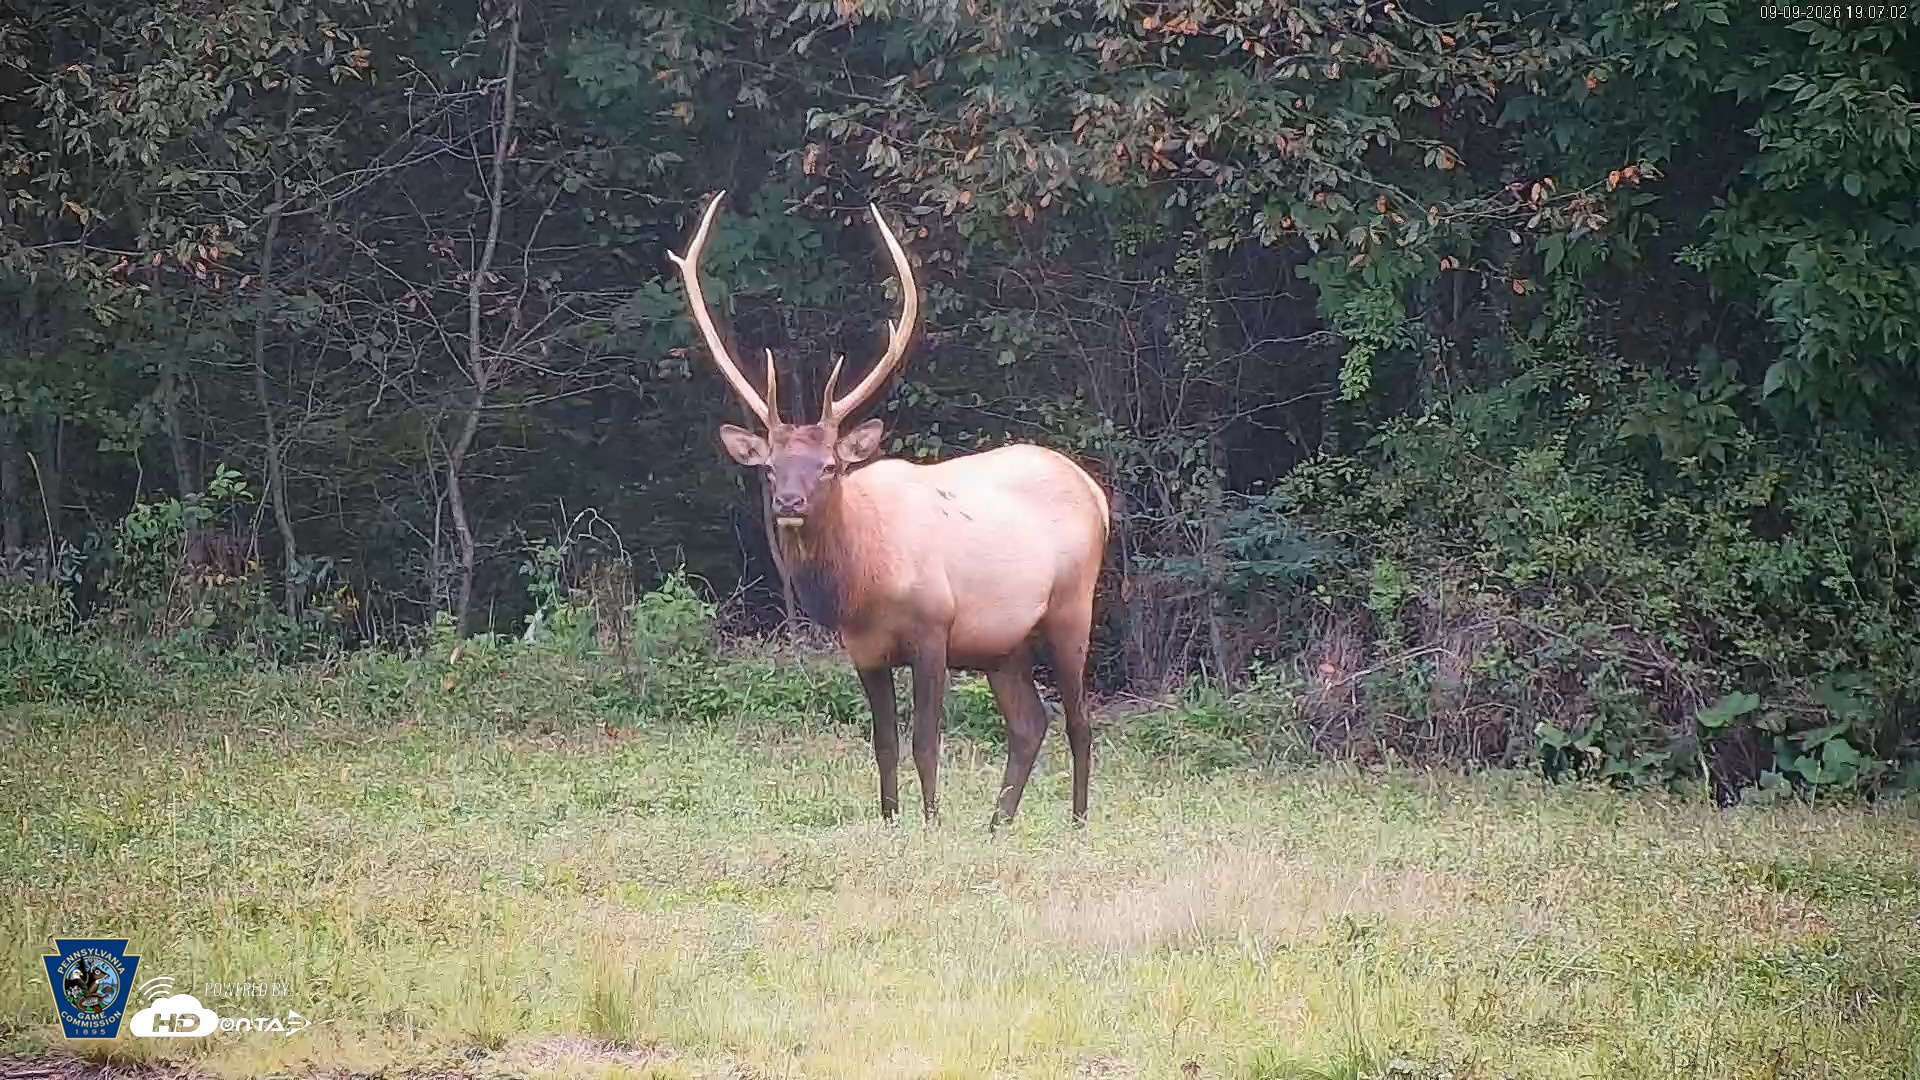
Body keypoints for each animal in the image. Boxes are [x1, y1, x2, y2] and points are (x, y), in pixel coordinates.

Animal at [668, 191, 1111, 829]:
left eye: (829, 465)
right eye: (771, 467)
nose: (789, 502)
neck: (863, 585)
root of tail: (1096, 493)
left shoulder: (934, 629)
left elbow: (926, 740)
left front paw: (930, 822)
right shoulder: (864, 649)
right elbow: (883, 743)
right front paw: (892, 820)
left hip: (1072, 606)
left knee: (1079, 719)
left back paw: (1075, 821)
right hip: (1002, 643)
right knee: (1030, 722)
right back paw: (997, 823)